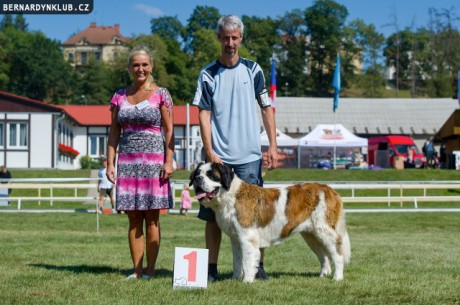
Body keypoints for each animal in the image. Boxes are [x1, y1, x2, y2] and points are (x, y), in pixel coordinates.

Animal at [189, 163, 350, 282]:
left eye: (211, 175)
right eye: (198, 173)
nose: (197, 179)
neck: (230, 196)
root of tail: (330, 190)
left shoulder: (247, 238)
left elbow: (247, 261)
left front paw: (246, 281)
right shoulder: (235, 238)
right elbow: (237, 260)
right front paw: (234, 279)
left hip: (324, 231)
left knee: (337, 253)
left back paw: (337, 277)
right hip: (310, 235)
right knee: (323, 255)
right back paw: (323, 274)